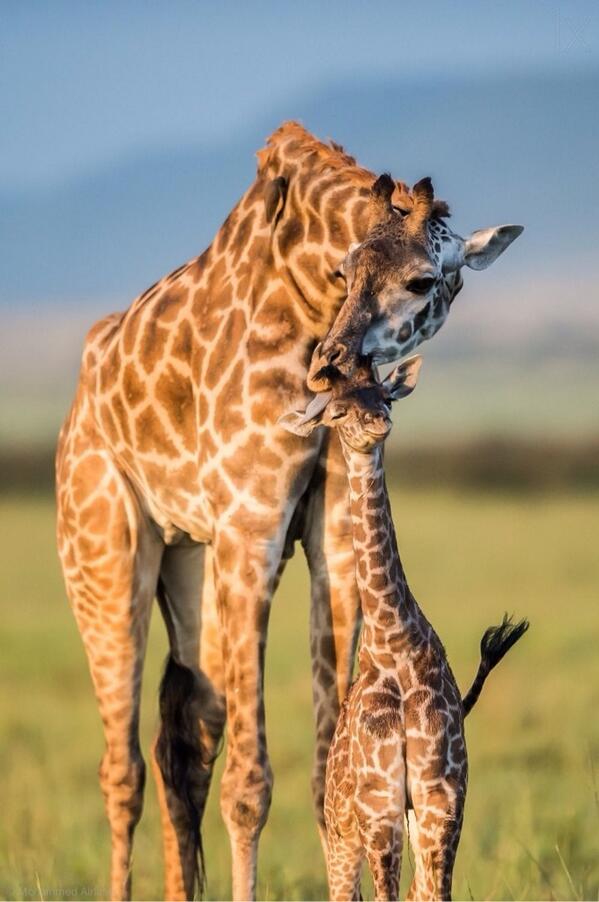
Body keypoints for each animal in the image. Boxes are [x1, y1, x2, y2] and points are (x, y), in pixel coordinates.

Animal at [278, 356, 528, 900]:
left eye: (385, 397)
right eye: (337, 411)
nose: (378, 425)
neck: (395, 641)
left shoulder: (442, 797)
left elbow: (434, 892)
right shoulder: (380, 806)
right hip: (343, 831)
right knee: (345, 889)